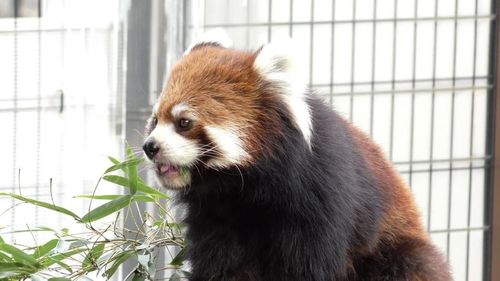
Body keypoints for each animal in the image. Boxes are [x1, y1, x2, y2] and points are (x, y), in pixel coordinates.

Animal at [143, 29, 452, 278]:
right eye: (155, 120)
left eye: (184, 122)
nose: (150, 147)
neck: (244, 191)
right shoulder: (215, 217)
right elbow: (223, 265)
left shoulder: (320, 200)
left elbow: (306, 266)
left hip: (394, 249)